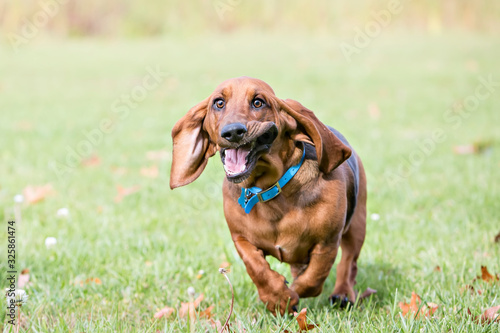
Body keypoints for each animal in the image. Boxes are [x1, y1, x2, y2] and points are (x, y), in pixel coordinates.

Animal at [172, 76, 368, 316]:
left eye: (258, 102)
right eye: (219, 103)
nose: (233, 132)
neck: (270, 189)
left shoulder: (327, 242)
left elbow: (313, 279)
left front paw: (291, 294)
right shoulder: (241, 239)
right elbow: (257, 268)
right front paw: (278, 298)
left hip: (357, 226)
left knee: (349, 263)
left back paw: (342, 293)